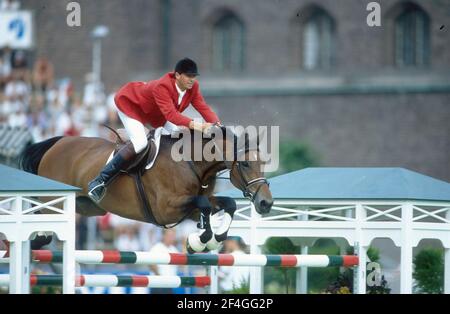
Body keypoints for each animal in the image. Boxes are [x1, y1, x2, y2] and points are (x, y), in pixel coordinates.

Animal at [20, 125, 274, 253]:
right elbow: (204, 205)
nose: (266, 203)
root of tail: (57, 142)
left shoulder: (188, 209)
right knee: (41, 217)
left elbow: (226, 204)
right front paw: (200, 240)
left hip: (89, 207)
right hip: (55, 201)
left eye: (263, 163)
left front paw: (213, 238)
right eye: (245, 164)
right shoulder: (166, 209)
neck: (192, 163)